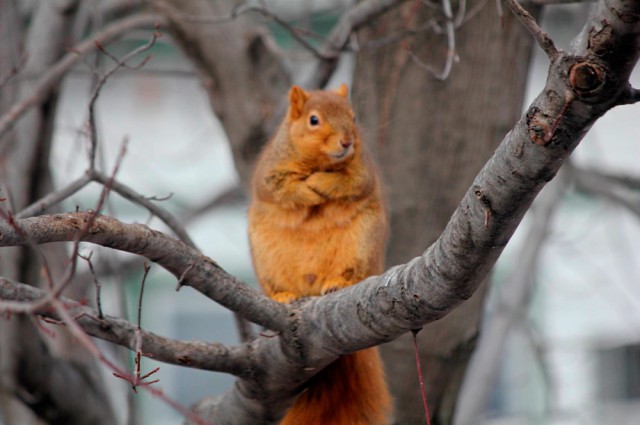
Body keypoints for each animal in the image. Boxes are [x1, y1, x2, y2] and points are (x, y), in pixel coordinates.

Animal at [249, 83, 390, 424]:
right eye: (314, 120)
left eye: (353, 117)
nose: (347, 142)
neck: (318, 161)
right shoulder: (270, 173)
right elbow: (283, 188)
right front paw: (307, 188)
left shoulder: (361, 172)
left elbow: (348, 182)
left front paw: (319, 182)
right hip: (266, 260)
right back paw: (283, 296)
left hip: (361, 247)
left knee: (350, 272)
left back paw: (337, 283)